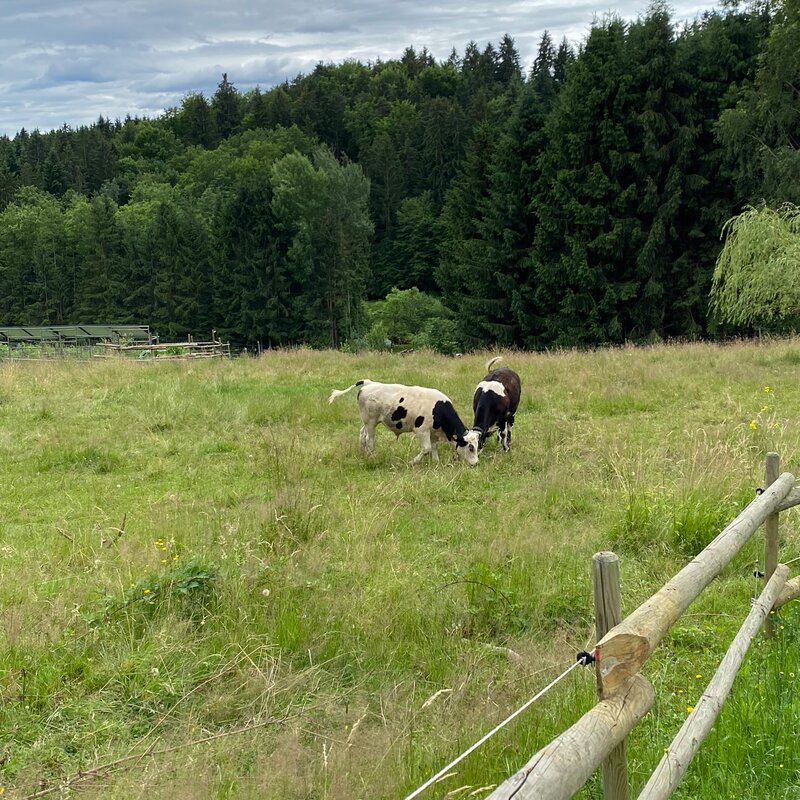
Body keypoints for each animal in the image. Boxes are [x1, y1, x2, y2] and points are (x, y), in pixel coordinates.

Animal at [328, 380, 480, 465]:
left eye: (477, 446)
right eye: (470, 447)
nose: (476, 463)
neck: (438, 409)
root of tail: (369, 384)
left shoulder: (433, 432)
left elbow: (434, 447)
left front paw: (435, 462)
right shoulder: (421, 430)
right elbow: (427, 448)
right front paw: (412, 462)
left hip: (368, 421)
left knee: (362, 434)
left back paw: (362, 453)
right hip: (370, 421)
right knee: (369, 439)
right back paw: (372, 457)